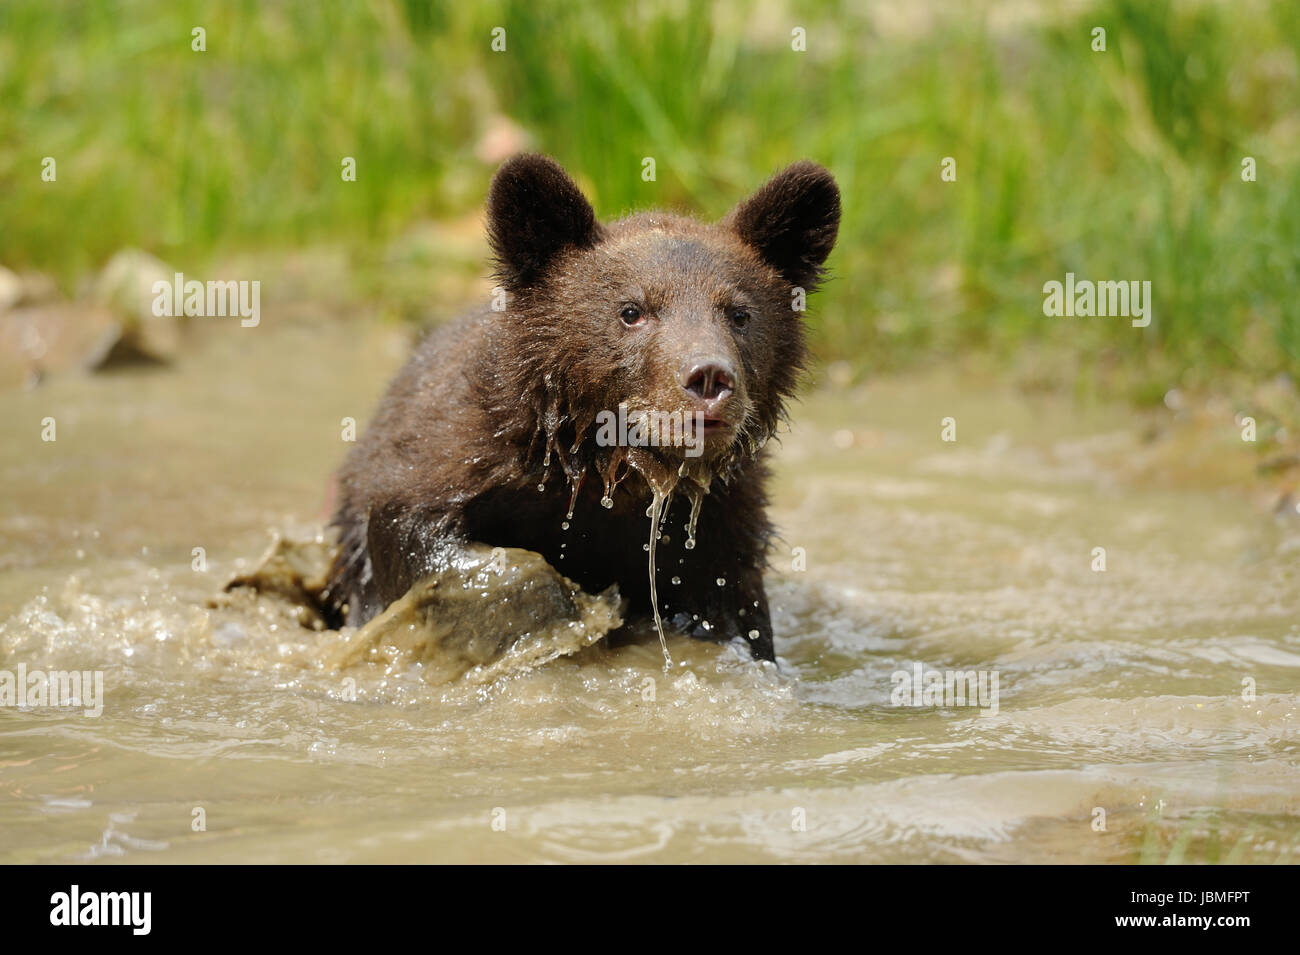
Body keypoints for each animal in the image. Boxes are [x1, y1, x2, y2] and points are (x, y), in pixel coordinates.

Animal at [324, 154, 840, 662]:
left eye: (739, 313)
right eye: (632, 310)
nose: (709, 378)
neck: (606, 462)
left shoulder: (723, 520)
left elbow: (733, 611)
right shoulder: (460, 447)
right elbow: (415, 529)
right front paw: (559, 607)